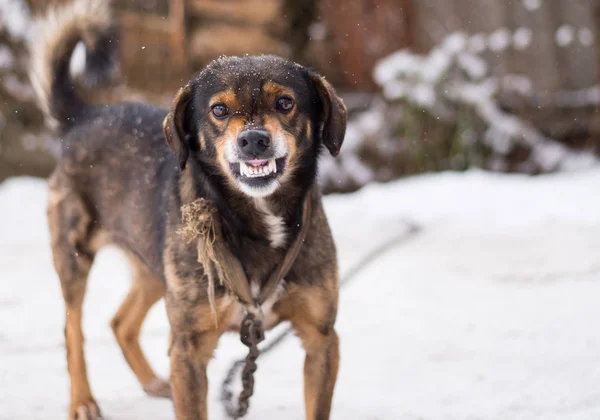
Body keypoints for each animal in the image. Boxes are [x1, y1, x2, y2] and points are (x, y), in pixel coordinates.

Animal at [29, 1, 346, 418]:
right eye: (219, 110)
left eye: (285, 103)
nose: (253, 140)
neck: (254, 216)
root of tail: (84, 116)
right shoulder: (189, 348)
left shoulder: (321, 338)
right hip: (74, 257)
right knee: (72, 330)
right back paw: (82, 400)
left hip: (155, 268)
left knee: (120, 322)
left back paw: (151, 382)